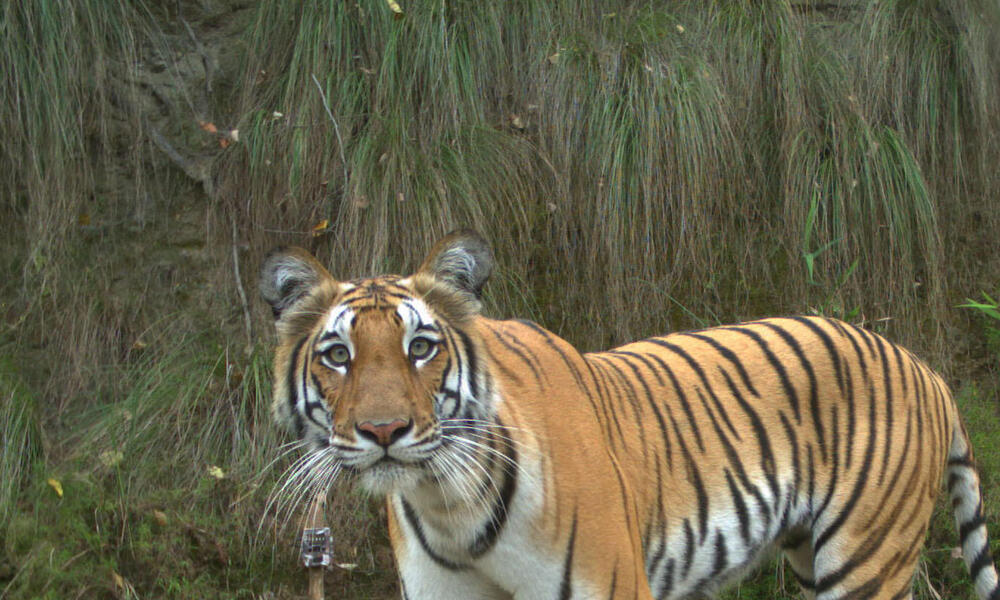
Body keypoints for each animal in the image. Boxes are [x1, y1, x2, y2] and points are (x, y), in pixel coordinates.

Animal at [260, 231, 1000, 600]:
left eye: (420, 348)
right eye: (338, 355)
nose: (384, 432)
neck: (449, 503)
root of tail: (927, 369)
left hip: (865, 558)